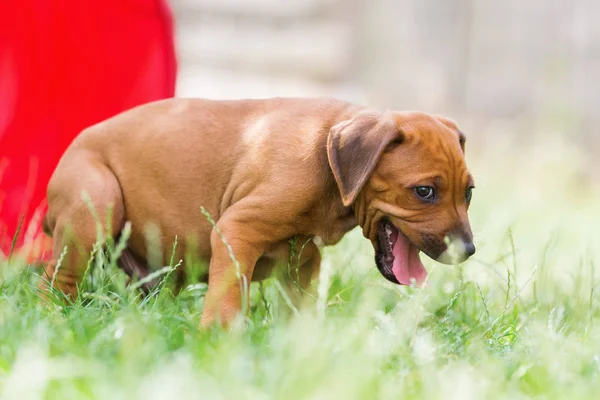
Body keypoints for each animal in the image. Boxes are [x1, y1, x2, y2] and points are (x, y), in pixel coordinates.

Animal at [39, 98, 476, 326]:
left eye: (469, 193)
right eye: (424, 192)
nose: (468, 250)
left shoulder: (304, 259)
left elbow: (298, 308)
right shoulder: (236, 231)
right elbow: (229, 292)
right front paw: (219, 338)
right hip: (95, 203)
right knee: (56, 279)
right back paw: (54, 315)